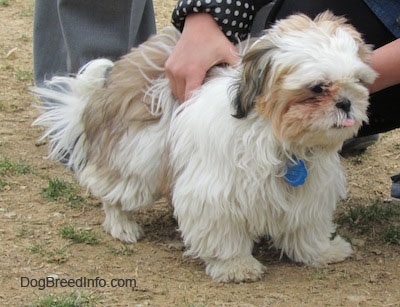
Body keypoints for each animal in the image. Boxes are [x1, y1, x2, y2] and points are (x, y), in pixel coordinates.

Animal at [32, 11, 376, 282]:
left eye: (358, 81)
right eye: (317, 88)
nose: (346, 103)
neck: (277, 136)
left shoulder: (311, 188)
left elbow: (306, 226)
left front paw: (323, 250)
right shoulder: (217, 190)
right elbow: (223, 231)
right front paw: (236, 265)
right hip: (139, 155)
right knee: (113, 190)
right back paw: (121, 224)